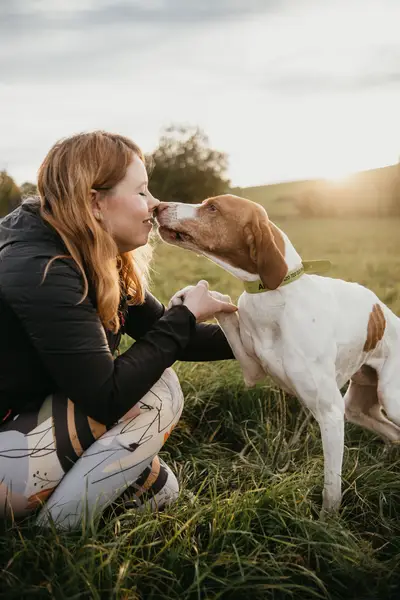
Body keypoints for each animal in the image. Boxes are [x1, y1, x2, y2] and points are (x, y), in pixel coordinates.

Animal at [156, 196, 400, 510]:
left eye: (213, 207)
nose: (157, 206)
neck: (272, 293)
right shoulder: (252, 368)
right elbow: (226, 311)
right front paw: (195, 296)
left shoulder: (330, 412)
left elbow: (331, 488)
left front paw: (328, 520)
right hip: (356, 407)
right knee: (394, 434)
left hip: (390, 399)